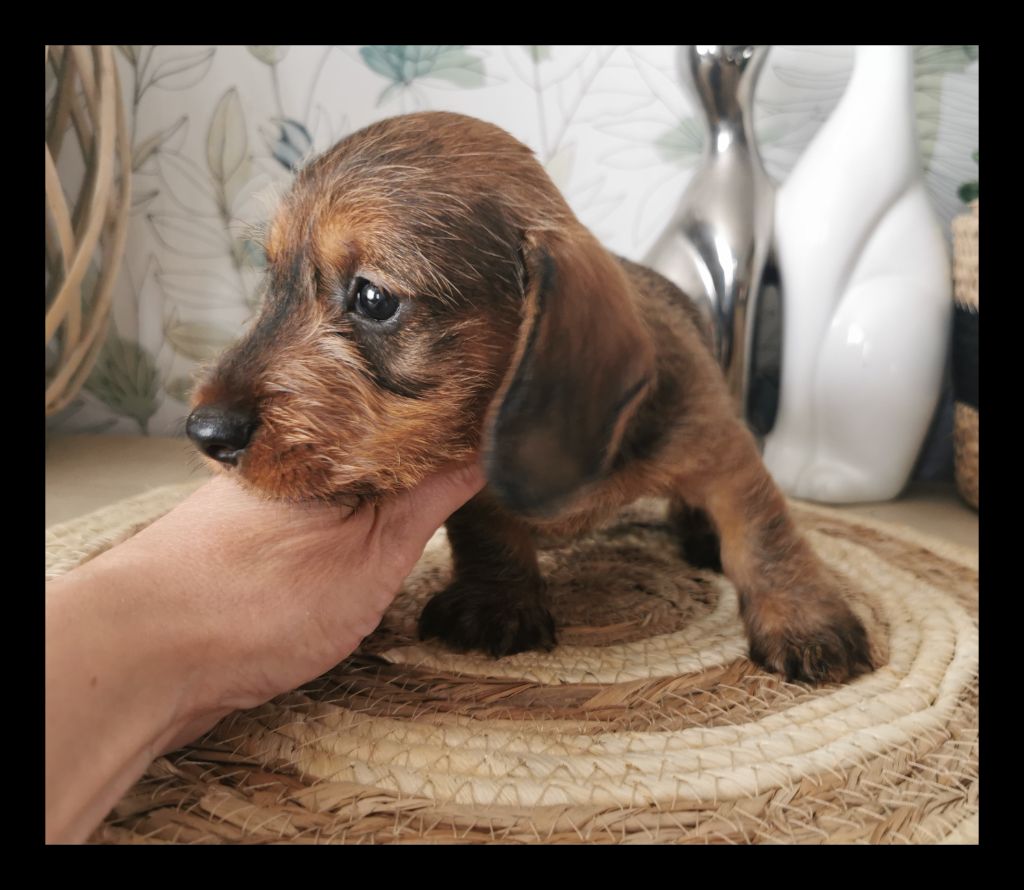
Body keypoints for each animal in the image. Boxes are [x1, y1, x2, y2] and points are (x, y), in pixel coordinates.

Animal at [188, 109, 876, 680]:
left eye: (374, 297)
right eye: (273, 279)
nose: (205, 431)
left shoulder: (722, 448)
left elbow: (765, 535)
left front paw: (806, 619)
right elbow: (487, 529)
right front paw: (498, 600)